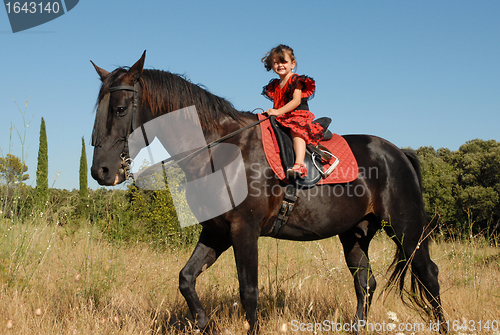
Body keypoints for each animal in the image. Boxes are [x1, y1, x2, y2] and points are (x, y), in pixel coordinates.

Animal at [89, 51, 446, 334]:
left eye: (120, 109)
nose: (100, 172)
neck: (219, 150)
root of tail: (399, 153)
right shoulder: (216, 232)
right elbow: (186, 279)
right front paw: (205, 323)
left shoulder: (244, 230)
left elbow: (249, 293)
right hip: (355, 234)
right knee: (365, 283)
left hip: (406, 229)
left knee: (429, 274)